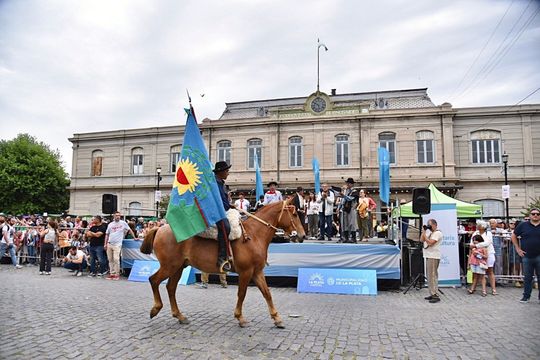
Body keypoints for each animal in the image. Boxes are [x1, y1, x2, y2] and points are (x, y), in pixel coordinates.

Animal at [139, 200, 306, 330]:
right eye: (295, 215)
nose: (303, 235)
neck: (254, 235)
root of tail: (160, 227)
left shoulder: (257, 272)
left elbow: (267, 293)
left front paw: (277, 319)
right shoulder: (246, 272)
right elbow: (242, 293)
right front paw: (240, 318)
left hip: (178, 267)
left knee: (171, 288)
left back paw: (179, 316)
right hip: (169, 266)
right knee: (154, 280)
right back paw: (156, 308)